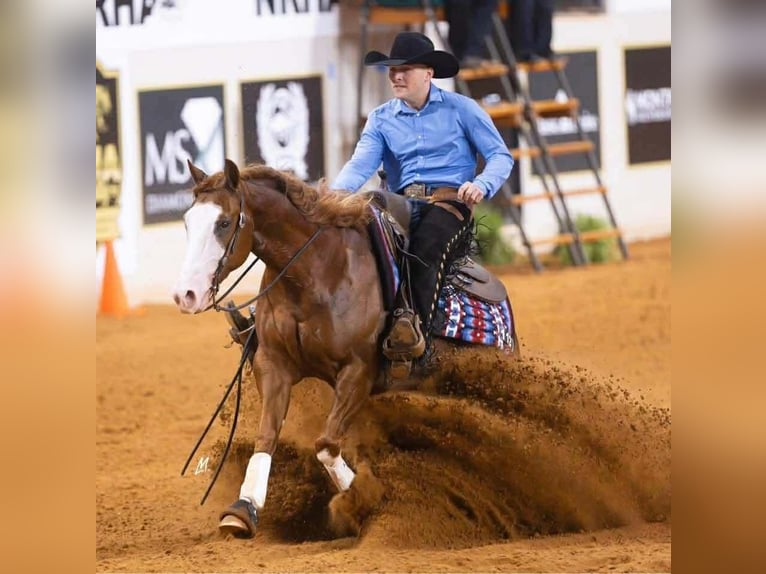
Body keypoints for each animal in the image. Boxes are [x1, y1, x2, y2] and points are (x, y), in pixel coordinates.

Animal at [172, 158, 518, 539]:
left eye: (223, 222)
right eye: (187, 221)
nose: (186, 295)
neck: (315, 273)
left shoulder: (358, 372)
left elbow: (325, 445)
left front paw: (362, 498)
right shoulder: (273, 365)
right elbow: (267, 435)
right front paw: (243, 508)